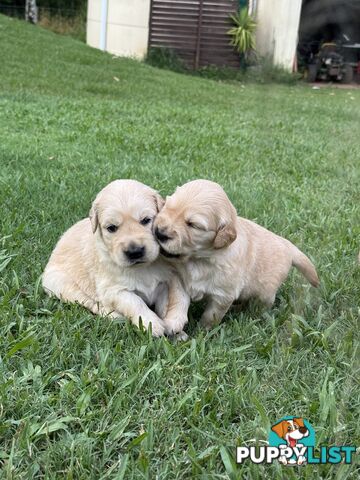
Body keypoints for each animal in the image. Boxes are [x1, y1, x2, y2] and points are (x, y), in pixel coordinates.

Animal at [42, 178, 188, 336]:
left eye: (146, 220)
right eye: (111, 228)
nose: (135, 251)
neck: (142, 267)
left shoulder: (165, 281)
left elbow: (166, 305)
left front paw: (175, 331)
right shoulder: (113, 290)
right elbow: (135, 302)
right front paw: (152, 324)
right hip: (62, 285)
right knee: (91, 303)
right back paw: (116, 316)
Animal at [153, 178, 320, 332]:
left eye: (193, 225)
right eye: (167, 207)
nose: (159, 232)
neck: (199, 260)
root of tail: (287, 244)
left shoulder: (223, 295)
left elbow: (211, 317)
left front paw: (202, 332)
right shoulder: (179, 279)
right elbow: (178, 301)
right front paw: (173, 322)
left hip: (266, 293)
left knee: (261, 305)